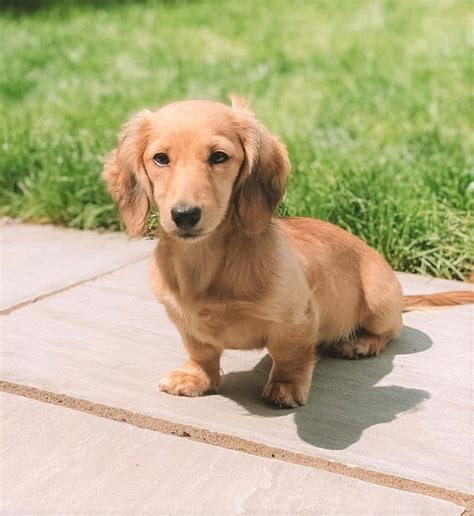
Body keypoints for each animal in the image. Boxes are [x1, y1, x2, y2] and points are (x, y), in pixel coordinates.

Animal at [102, 98, 472, 408]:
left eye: (219, 157)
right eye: (160, 159)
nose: (184, 215)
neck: (205, 262)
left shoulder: (299, 318)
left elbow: (290, 356)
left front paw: (286, 387)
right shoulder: (184, 321)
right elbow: (202, 351)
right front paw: (197, 378)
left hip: (380, 302)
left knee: (390, 330)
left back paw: (360, 342)